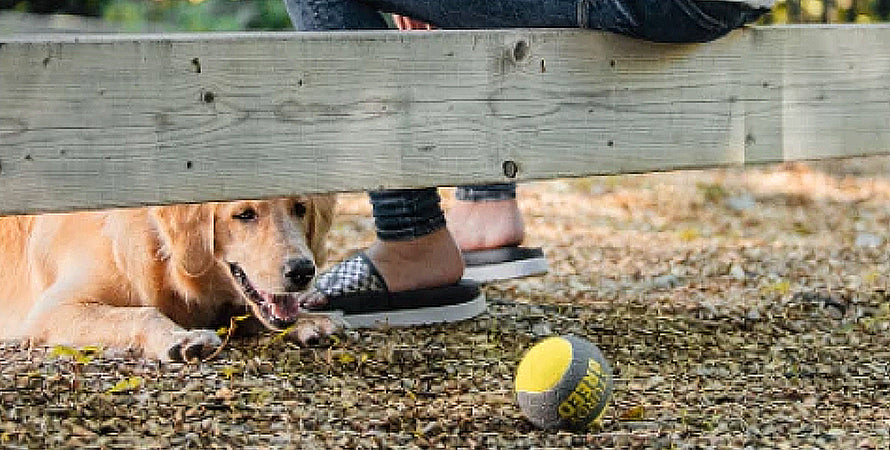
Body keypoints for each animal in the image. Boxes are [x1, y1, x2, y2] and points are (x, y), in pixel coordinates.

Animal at [0, 197, 336, 362]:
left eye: (300, 209)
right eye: (244, 215)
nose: (303, 271)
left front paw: (311, 319)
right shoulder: (51, 310)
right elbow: (144, 313)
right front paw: (181, 337)